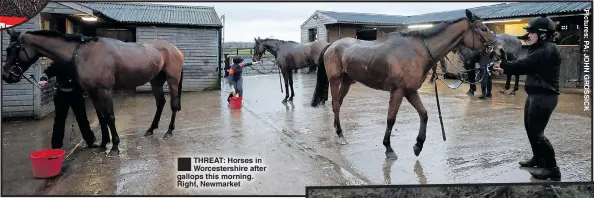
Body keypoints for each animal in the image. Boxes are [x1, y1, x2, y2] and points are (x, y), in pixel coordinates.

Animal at [2, 29, 183, 156]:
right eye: (8, 49)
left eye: (13, 49)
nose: (6, 75)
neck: (84, 54)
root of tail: (174, 49)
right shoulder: (93, 93)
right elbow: (102, 118)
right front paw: (103, 144)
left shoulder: (105, 91)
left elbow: (110, 117)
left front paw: (115, 146)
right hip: (156, 81)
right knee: (160, 103)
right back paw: (151, 129)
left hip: (172, 80)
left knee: (173, 105)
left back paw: (169, 131)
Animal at [308, 10, 498, 160]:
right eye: (483, 29)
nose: (497, 52)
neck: (417, 51)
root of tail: (332, 45)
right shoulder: (398, 91)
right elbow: (391, 119)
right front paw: (388, 148)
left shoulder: (410, 91)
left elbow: (424, 114)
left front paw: (418, 145)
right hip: (335, 80)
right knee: (335, 104)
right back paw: (340, 134)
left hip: (347, 80)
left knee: (338, 103)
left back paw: (338, 131)